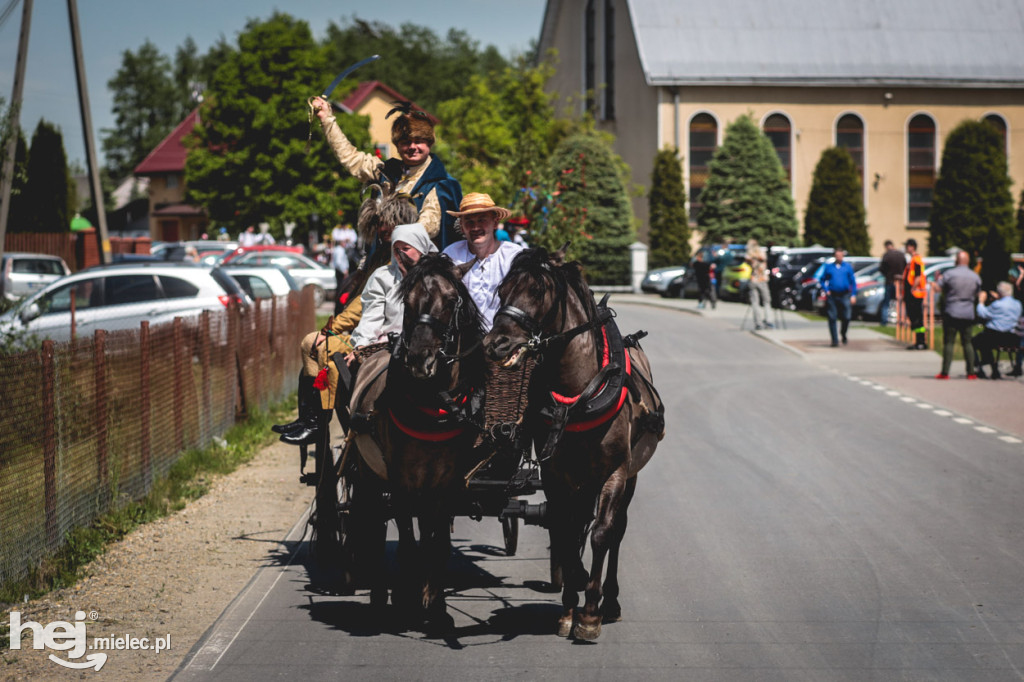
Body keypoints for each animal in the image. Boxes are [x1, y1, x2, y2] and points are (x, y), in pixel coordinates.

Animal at [481, 244, 663, 638]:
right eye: (501, 291)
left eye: (536, 291)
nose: (493, 343)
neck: (579, 393)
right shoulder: (556, 475)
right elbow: (563, 529)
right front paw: (568, 608)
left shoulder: (615, 472)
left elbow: (601, 533)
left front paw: (590, 613)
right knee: (577, 520)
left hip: (630, 475)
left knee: (616, 529)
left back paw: (609, 601)